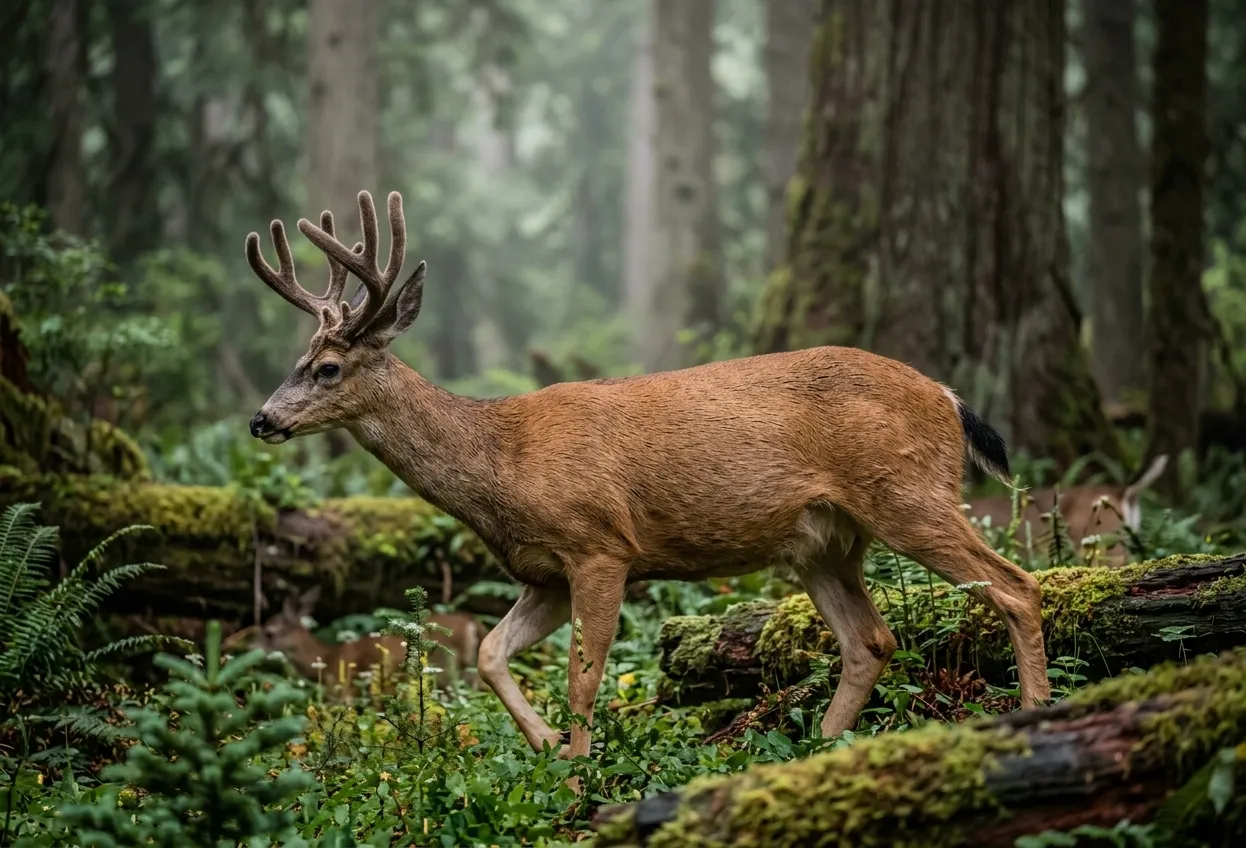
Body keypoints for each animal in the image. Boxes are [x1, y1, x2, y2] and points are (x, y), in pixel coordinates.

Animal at [256, 586, 485, 695]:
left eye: (269, 633)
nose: (255, 650)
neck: (326, 659)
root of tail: (472, 622)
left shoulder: (343, 690)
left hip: (447, 671)